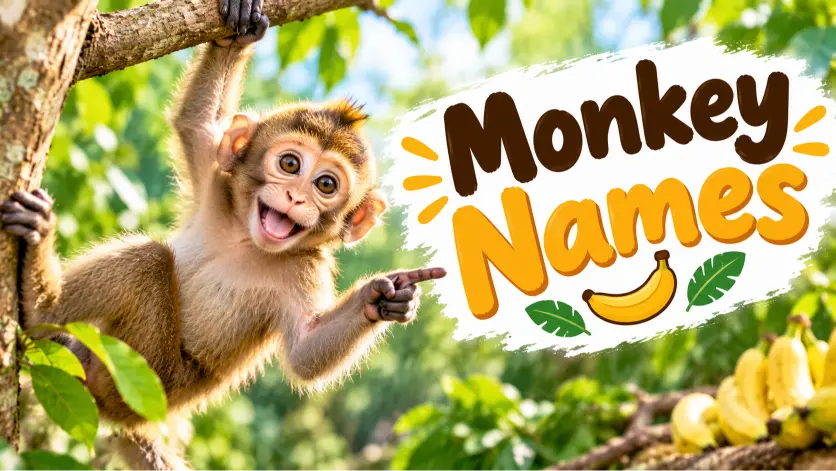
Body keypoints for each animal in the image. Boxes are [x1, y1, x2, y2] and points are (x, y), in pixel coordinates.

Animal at [0, 1, 446, 469]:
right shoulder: (219, 188)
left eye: (325, 185)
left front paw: (384, 298)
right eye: (290, 164)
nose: (295, 196)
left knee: (147, 261)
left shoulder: (305, 267)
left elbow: (306, 354)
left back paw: (40, 302)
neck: (244, 237)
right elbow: (196, 126)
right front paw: (239, 31)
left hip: (132, 378)